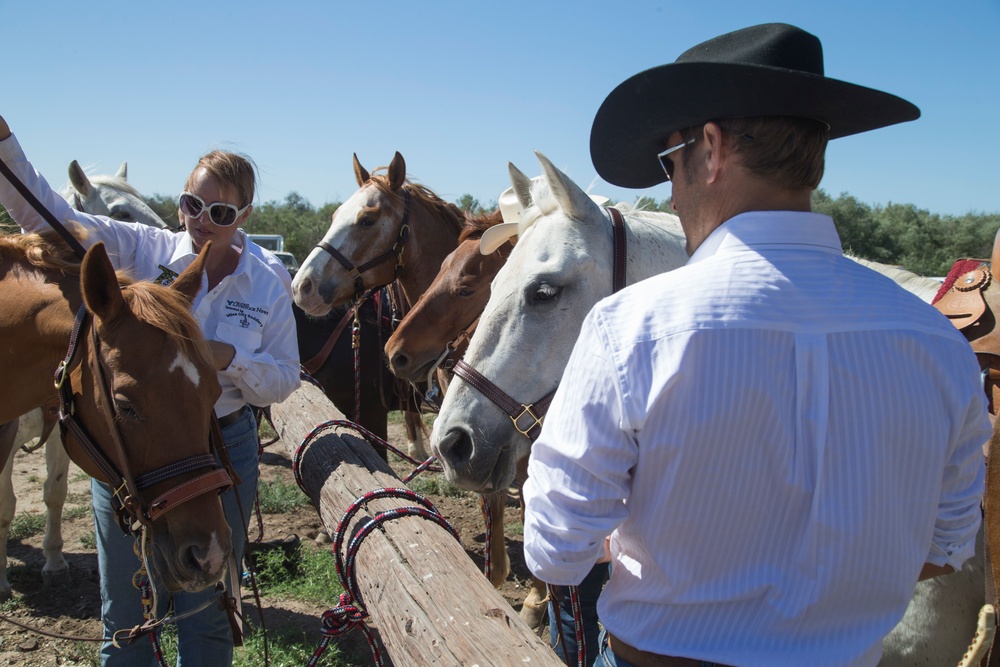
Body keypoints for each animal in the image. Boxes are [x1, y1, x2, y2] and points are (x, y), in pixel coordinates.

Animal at [0, 160, 167, 600]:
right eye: (121, 212)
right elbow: (5, 504)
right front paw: (2, 581)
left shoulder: (66, 427)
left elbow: (54, 492)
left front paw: (55, 562)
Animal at [0, 235, 232, 596]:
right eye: (124, 406)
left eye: (214, 392)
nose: (209, 555)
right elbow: (5, 508)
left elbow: (54, 491)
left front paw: (54, 563)